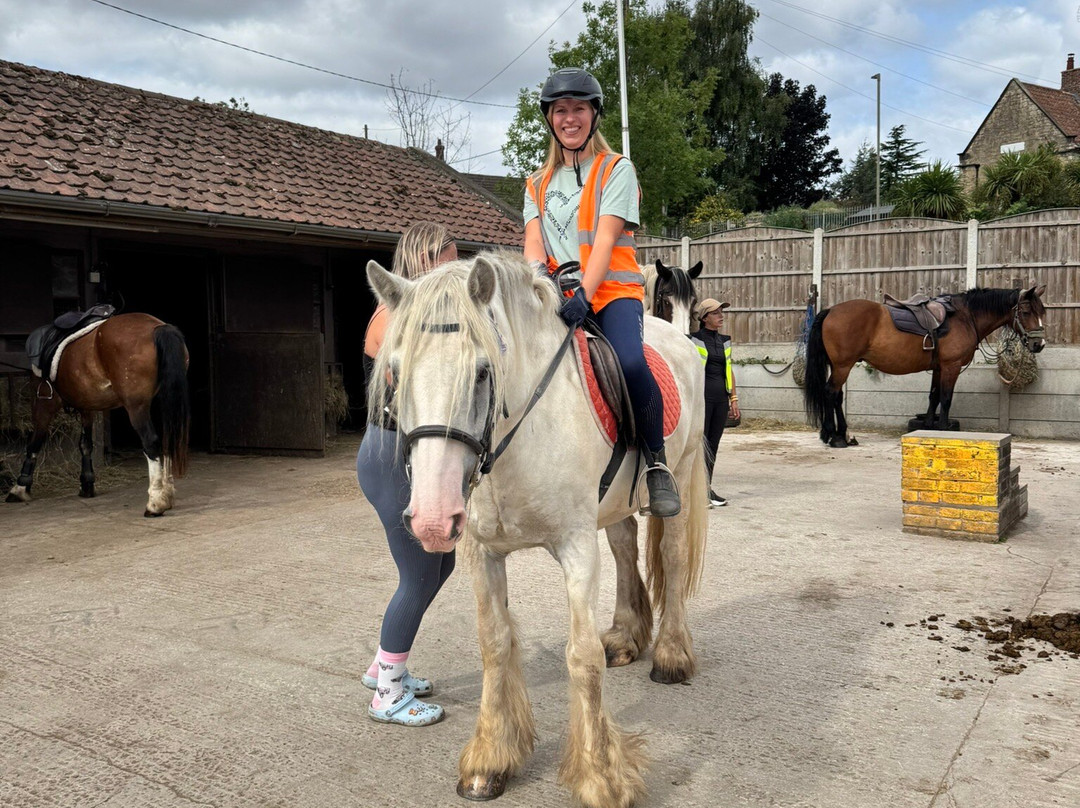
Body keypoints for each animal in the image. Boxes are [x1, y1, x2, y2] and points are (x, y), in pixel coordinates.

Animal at [6, 313, 191, 516]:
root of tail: (158, 328)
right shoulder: (87, 406)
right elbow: (86, 444)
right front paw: (87, 483)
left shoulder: (44, 404)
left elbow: (34, 445)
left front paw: (20, 487)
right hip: (159, 402)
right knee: (166, 441)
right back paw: (167, 496)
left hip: (137, 407)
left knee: (151, 443)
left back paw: (155, 503)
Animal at [367, 251, 708, 808]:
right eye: (395, 371)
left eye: (484, 372)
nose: (433, 520)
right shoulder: (483, 553)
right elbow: (494, 643)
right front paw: (490, 759)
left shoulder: (575, 548)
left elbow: (581, 656)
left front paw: (600, 775)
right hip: (612, 506)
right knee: (624, 548)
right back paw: (627, 635)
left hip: (678, 475)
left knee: (674, 559)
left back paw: (672, 655)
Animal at [803, 285, 1046, 448]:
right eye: (1026, 312)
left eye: (1042, 312)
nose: (1039, 344)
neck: (965, 317)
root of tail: (831, 311)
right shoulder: (951, 367)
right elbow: (946, 399)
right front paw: (944, 430)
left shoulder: (938, 368)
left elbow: (934, 397)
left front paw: (928, 428)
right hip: (843, 365)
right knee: (831, 393)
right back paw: (835, 437)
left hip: (838, 365)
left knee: (835, 395)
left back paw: (837, 435)